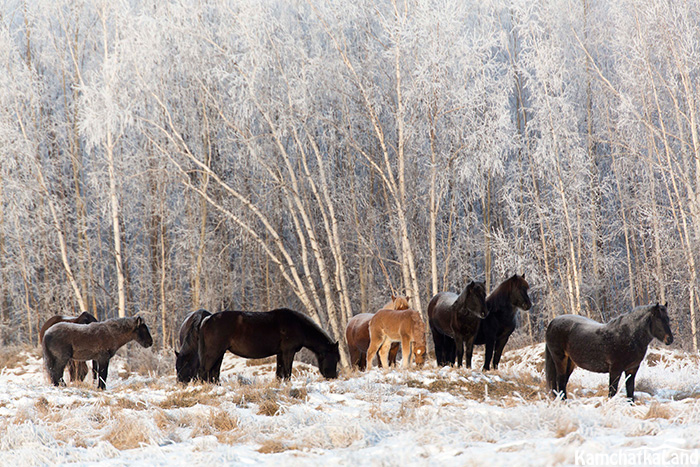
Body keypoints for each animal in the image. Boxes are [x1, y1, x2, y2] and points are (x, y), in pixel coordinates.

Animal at [197, 308, 340, 382]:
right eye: (335, 358)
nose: (333, 376)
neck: (299, 325)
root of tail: (208, 320)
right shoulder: (289, 351)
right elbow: (287, 372)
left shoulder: (281, 353)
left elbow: (280, 373)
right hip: (214, 352)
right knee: (205, 370)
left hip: (220, 353)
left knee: (214, 372)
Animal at [544, 304, 676, 402]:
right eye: (658, 320)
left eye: (668, 319)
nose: (669, 339)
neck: (628, 336)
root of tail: (552, 322)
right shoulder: (615, 370)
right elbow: (612, 392)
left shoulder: (632, 369)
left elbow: (630, 392)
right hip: (560, 359)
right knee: (560, 381)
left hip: (570, 362)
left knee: (563, 382)